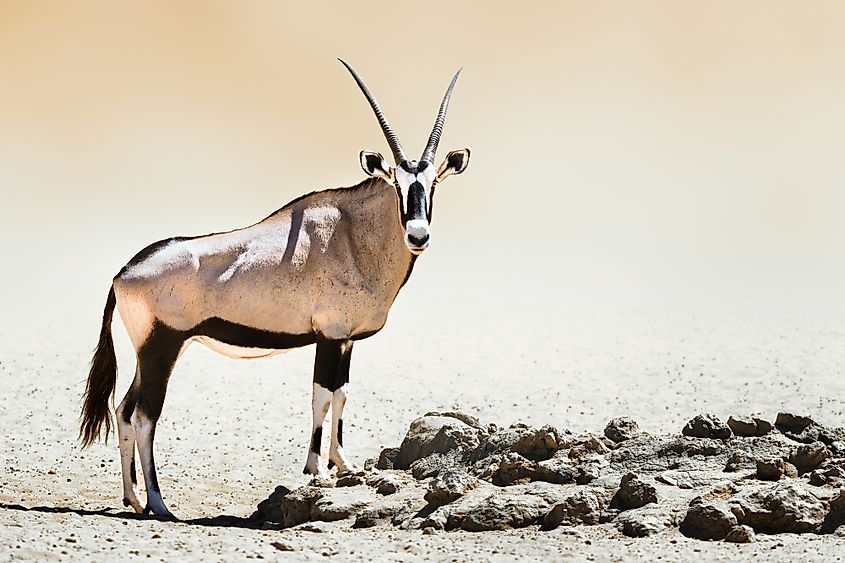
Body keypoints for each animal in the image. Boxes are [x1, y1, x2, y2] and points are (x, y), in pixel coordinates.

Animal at [79, 59, 470, 518]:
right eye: (396, 184)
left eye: (433, 184)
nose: (418, 235)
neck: (352, 236)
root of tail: (124, 272)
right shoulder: (329, 336)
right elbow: (321, 395)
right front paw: (315, 470)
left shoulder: (347, 340)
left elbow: (342, 394)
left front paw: (344, 464)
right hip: (162, 347)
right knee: (144, 417)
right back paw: (159, 503)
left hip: (151, 351)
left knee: (124, 411)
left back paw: (134, 499)